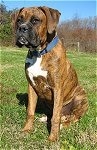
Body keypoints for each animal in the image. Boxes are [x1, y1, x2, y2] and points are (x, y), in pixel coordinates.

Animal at [11, 6, 88, 141]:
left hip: (81, 98)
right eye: (19, 20)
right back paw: (44, 118)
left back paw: (63, 125)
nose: (22, 28)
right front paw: (27, 130)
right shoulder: (31, 86)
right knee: (56, 115)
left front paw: (53, 138)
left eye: (36, 20)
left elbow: (55, 117)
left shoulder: (57, 88)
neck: (39, 53)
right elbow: (30, 111)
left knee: (72, 118)